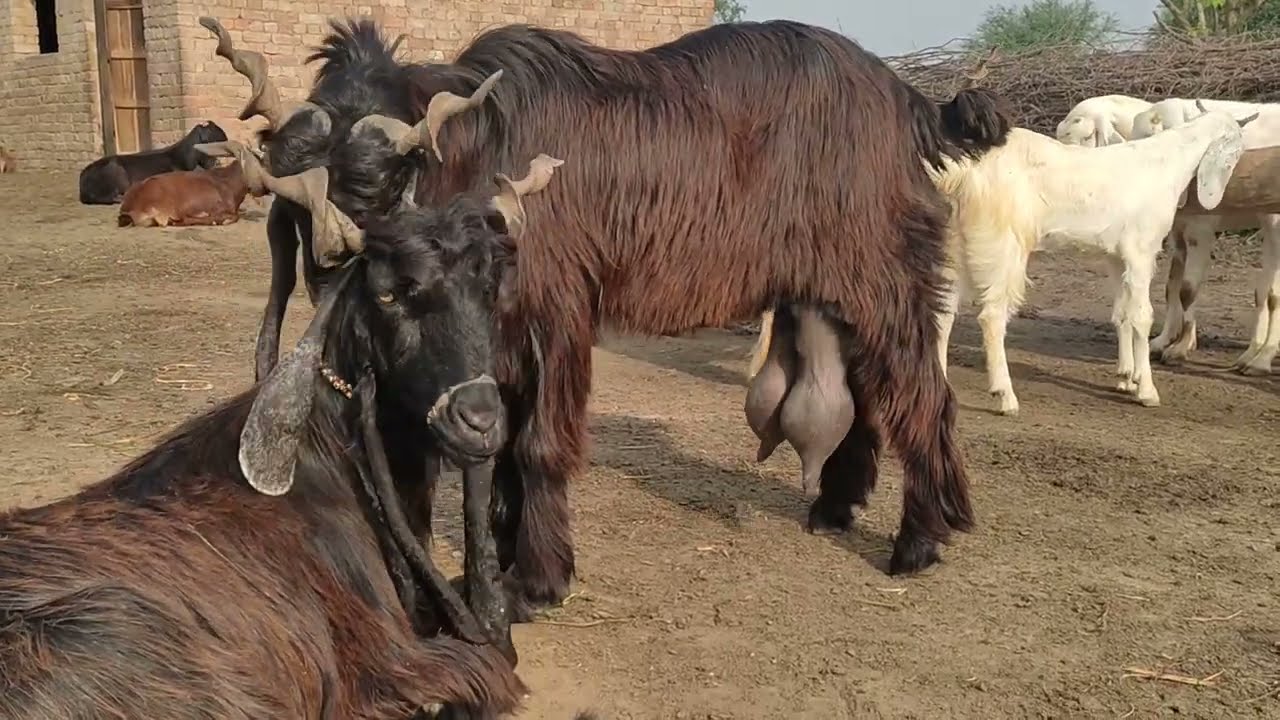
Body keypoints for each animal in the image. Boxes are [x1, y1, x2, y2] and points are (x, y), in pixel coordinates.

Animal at [930, 103, 1256, 415]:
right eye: (1236, 145)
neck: (1166, 164)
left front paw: (1126, 378)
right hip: (1001, 245)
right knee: (992, 316)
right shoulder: (1141, 251)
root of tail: (962, 174)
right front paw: (1146, 390)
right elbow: (1142, 316)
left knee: (943, 311)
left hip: (952, 243)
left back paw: (941, 383)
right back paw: (1005, 396)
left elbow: (1122, 313)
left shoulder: (1116, 256)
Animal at [1130, 98, 1280, 376]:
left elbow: (1188, 289)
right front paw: (1164, 341)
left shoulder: (1201, 231)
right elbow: (1172, 286)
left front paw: (1181, 348)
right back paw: (1250, 354)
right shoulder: (1178, 233)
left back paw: (1261, 359)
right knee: (1263, 290)